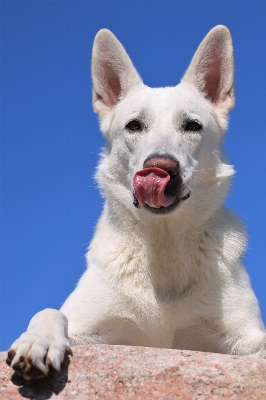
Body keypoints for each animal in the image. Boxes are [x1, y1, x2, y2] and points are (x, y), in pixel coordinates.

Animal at [6, 25, 266, 382]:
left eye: (193, 125)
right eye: (134, 125)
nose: (162, 168)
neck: (163, 247)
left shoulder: (245, 338)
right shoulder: (92, 329)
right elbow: (52, 311)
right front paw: (38, 340)